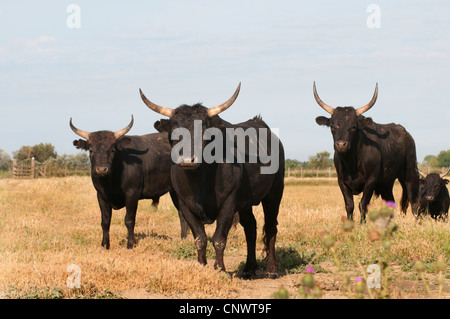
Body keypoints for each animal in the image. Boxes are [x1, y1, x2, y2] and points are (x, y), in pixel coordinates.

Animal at [69, 116, 189, 251]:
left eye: (112, 149)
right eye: (91, 149)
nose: (101, 169)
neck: (111, 182)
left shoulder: (132, 195)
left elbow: (129, 220)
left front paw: (130, 244)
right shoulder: (101, 196)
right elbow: (105, 221)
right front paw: (105, 244)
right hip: (174, 191)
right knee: (182, 213)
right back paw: (183, 239)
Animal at [140, 84, 284, 278]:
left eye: (205, 132)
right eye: (173, 133)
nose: (187, 160)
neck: (199, 182)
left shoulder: (228, 204)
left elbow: (219, 238)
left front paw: (220, 268)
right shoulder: (185, 205)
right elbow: (200, 238)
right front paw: (201, 266)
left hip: (274, 193)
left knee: (270, 227)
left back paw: (271, 269)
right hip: (245, 202)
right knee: (250, 227)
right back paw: (249, 268)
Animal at [312, 82, 422, 222]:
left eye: (353, 127)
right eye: (332, 126)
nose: (341, 145)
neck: (352, 164)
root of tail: (406, 133)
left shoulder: (371, 180)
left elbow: (363, 204)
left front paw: (362, 224)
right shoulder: (342, 181)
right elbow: (349, 205)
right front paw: (351, 223)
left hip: (410, 173)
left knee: (414, 202)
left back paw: (416, 222)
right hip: (386, 182)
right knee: (391, 202)